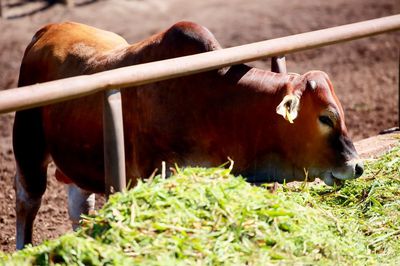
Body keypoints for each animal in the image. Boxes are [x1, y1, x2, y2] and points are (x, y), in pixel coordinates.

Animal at [13, 21, 362, 248]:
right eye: (326, 117)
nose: (357, 166)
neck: (210, 103)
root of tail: (47, 29)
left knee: (79, 205)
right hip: (28, 148)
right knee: (27, 200)